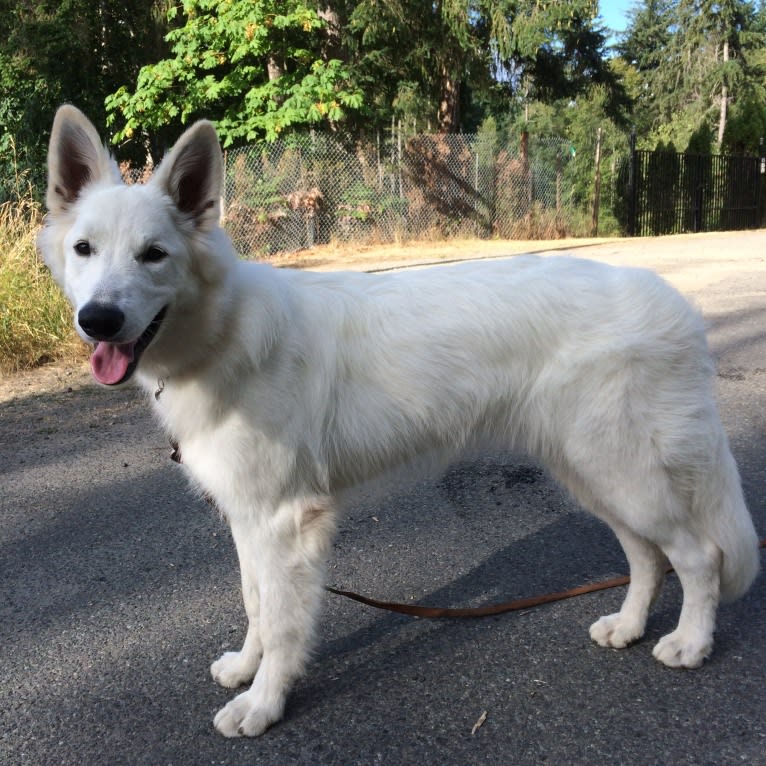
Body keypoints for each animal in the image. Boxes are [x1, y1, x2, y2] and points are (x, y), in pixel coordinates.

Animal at [40, 105, 760, 740]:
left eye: (154, 255)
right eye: (85, 249)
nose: (98, 320)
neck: (220, 335)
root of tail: (673, 303)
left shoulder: (285, 522)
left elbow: (282, 623)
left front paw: (263, 705)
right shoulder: (249, 519)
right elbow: (255, 604)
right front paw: (246, 670)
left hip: (621, 472)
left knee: (699, 556)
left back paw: (689, 642)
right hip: (594, 476)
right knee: (647, 555)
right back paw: (629, 626)